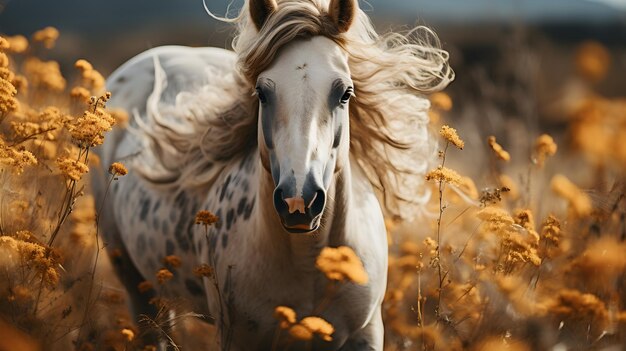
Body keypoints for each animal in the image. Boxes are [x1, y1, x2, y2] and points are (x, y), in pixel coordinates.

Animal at [91, 0, 448, 350]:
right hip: (138, 287)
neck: (309, 262)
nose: (298, 201)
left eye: (345, 92)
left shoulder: (366, 334)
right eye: (261, 92)